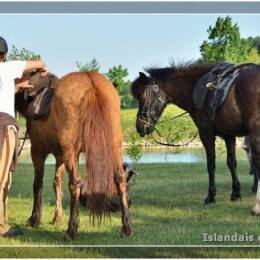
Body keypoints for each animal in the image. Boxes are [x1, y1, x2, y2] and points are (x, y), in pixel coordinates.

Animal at [14, 70, 132, 240]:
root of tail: (90, 81)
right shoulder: (60, 156)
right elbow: (57, 183)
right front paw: (57, 217)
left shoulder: (38, 152)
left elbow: (38, 184)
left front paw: (35, 218)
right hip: (114, 149)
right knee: (120, 180)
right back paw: (126, 228)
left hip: (70, 151)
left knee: (75, 183)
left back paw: (71, 229)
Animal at [132, 61, 260, 215]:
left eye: (143, 98)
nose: (140, 126)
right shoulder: (229, 135)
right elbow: (231, 163)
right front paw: (235, 193)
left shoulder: (206, 134)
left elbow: (211, 165)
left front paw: (210, 196)